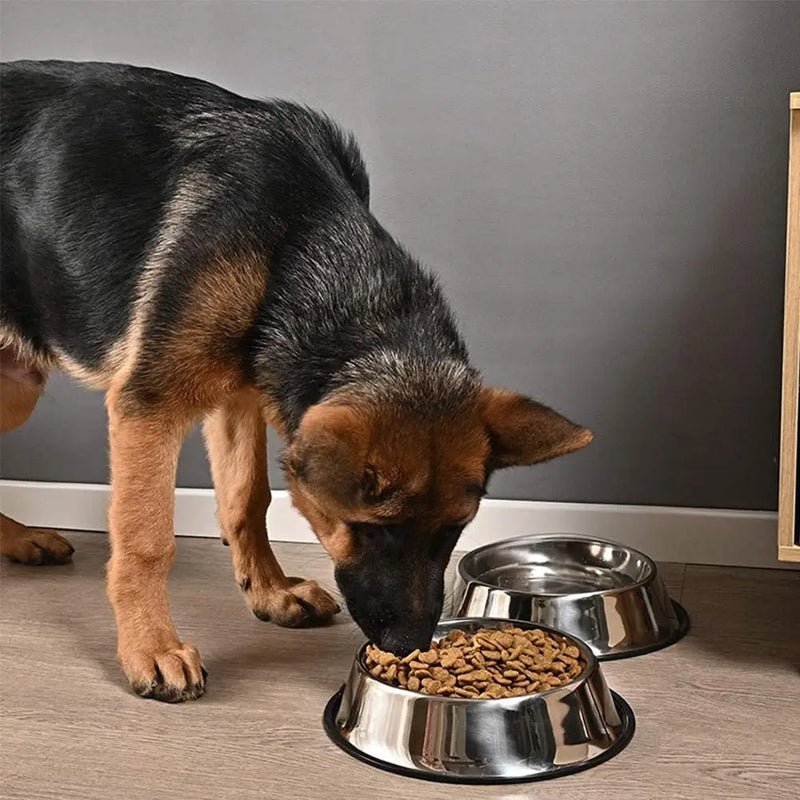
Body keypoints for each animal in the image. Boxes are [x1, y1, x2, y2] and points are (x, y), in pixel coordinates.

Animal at [0, 61, 588, 700]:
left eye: (454, 529)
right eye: (372, 529)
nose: (408, 645)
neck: (305, 244)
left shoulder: (239, 395)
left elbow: (246, 498)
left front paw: (270, 592)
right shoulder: (149, 407)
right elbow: (147, 539)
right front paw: (151, 648)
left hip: (17, 385)